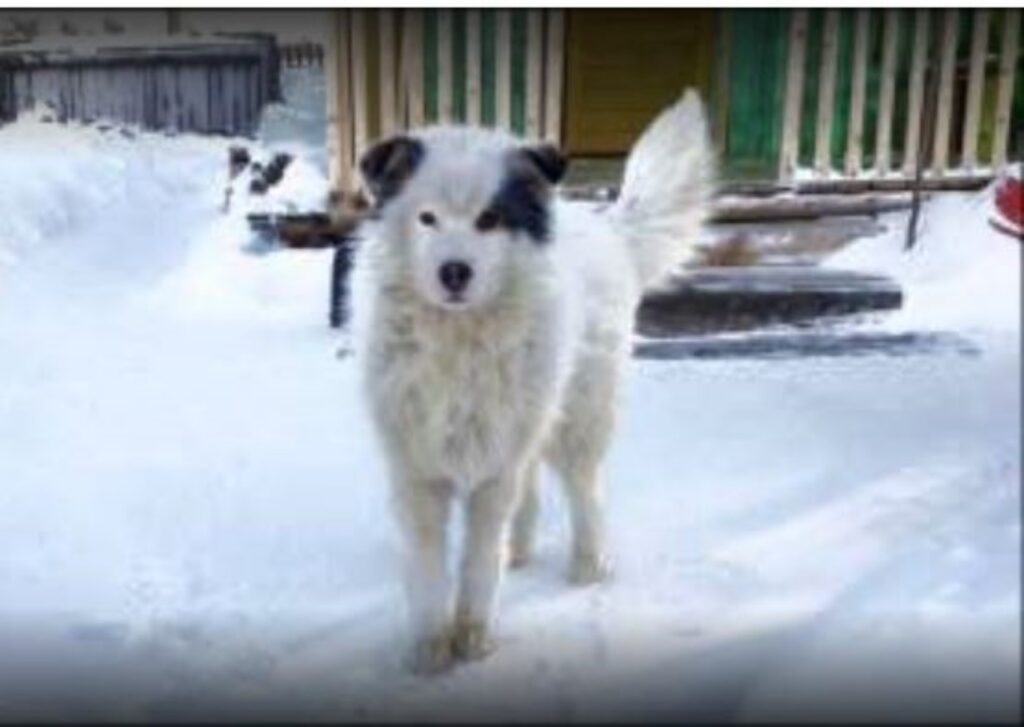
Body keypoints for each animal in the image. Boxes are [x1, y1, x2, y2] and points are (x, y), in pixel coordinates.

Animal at [350, 91, 712, 675]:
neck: (460, 340)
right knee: (532, 488)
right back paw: (519, 552)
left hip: (578, 416)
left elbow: (478, 564)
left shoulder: (493, 470)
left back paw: (587, 564)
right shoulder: (419, 473)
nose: (455, 271)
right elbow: (428, 572)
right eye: (427, 218)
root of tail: (607, 225)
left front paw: (473, 640)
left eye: (489, 219)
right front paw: (430, 650)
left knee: (585, 489)